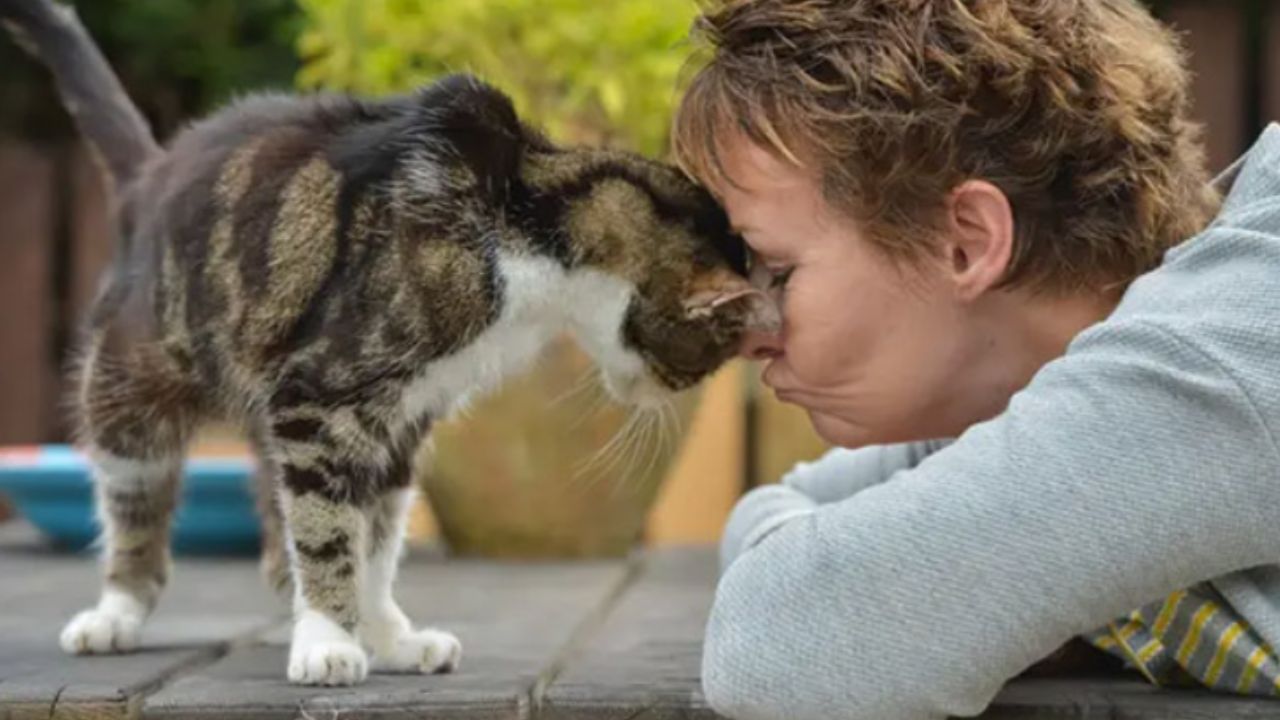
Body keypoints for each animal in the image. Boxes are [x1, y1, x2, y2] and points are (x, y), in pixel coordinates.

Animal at [2, 0, 778, 681]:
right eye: (705, 358)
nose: (663, 397)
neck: (529, 217)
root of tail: (149, 173)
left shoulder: (401, 420)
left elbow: (373, 543)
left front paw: (382, 635)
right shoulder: (321, 401)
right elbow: (328, 530)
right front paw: (327, 643)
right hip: (129, 392)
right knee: (136, 508)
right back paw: (116, 615)